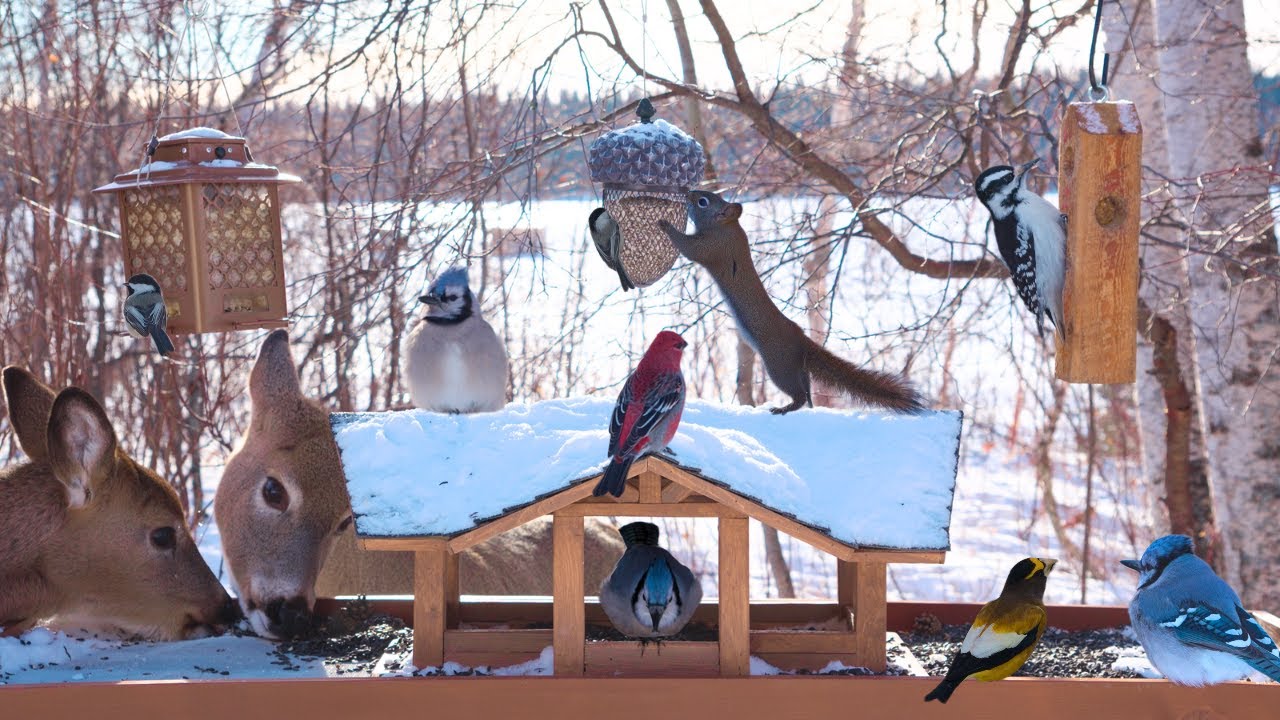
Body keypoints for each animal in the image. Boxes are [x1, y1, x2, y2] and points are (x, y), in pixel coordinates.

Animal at [659, 190, 925, 415]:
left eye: (703, 201)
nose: (688, 193)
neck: (728, 227)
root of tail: (801, 341)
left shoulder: (710, 247)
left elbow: (688, 248)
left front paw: (665, 225)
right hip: (797, 370)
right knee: (806, 393)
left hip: (779, 366)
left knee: (797, 394)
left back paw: (784, 408)